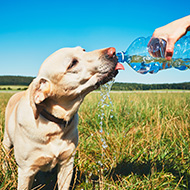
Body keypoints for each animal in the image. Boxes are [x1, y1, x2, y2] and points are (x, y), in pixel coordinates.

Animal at [2, 46, 124, 189]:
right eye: (72, 64)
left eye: (83, 50)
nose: (113, 51)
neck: (54, 124)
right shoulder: (26, 170)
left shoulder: (67, 163)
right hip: (7, 141)